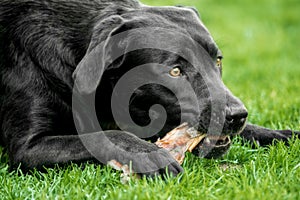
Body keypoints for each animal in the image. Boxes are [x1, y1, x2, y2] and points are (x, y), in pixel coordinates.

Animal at [0, 0, 298, 176]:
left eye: (218, 60)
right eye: (175, 71)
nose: (237, 115)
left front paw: (281, 134)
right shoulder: (29, 148)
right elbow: (106, 135)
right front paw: (152, 155)